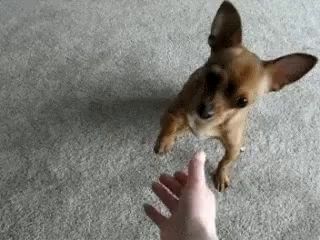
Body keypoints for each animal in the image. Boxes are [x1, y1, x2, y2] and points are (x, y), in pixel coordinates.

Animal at [153, 0, 318, 191]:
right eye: (212, 76)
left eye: (242, 102)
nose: (205, 112)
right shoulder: (174, 112)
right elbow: (170, 125)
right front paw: (165, 141)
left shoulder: (233, 147)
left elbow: (225, 162)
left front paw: (221, 175)